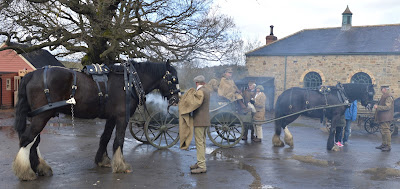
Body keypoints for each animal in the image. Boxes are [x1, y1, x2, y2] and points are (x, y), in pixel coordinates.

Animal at [11, 60, 180, 180]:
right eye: (173, 79)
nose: (176, 99)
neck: (130, 81)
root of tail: (31, 75)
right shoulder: (121, 117)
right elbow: (119, 140)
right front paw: (121, 165)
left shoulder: (112, 118)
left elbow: (105, 137)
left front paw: (102, 160)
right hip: (42, 116)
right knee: (28, 139)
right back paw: (26, 172)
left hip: (38, 115)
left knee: (34, 142)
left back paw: (41, 168)